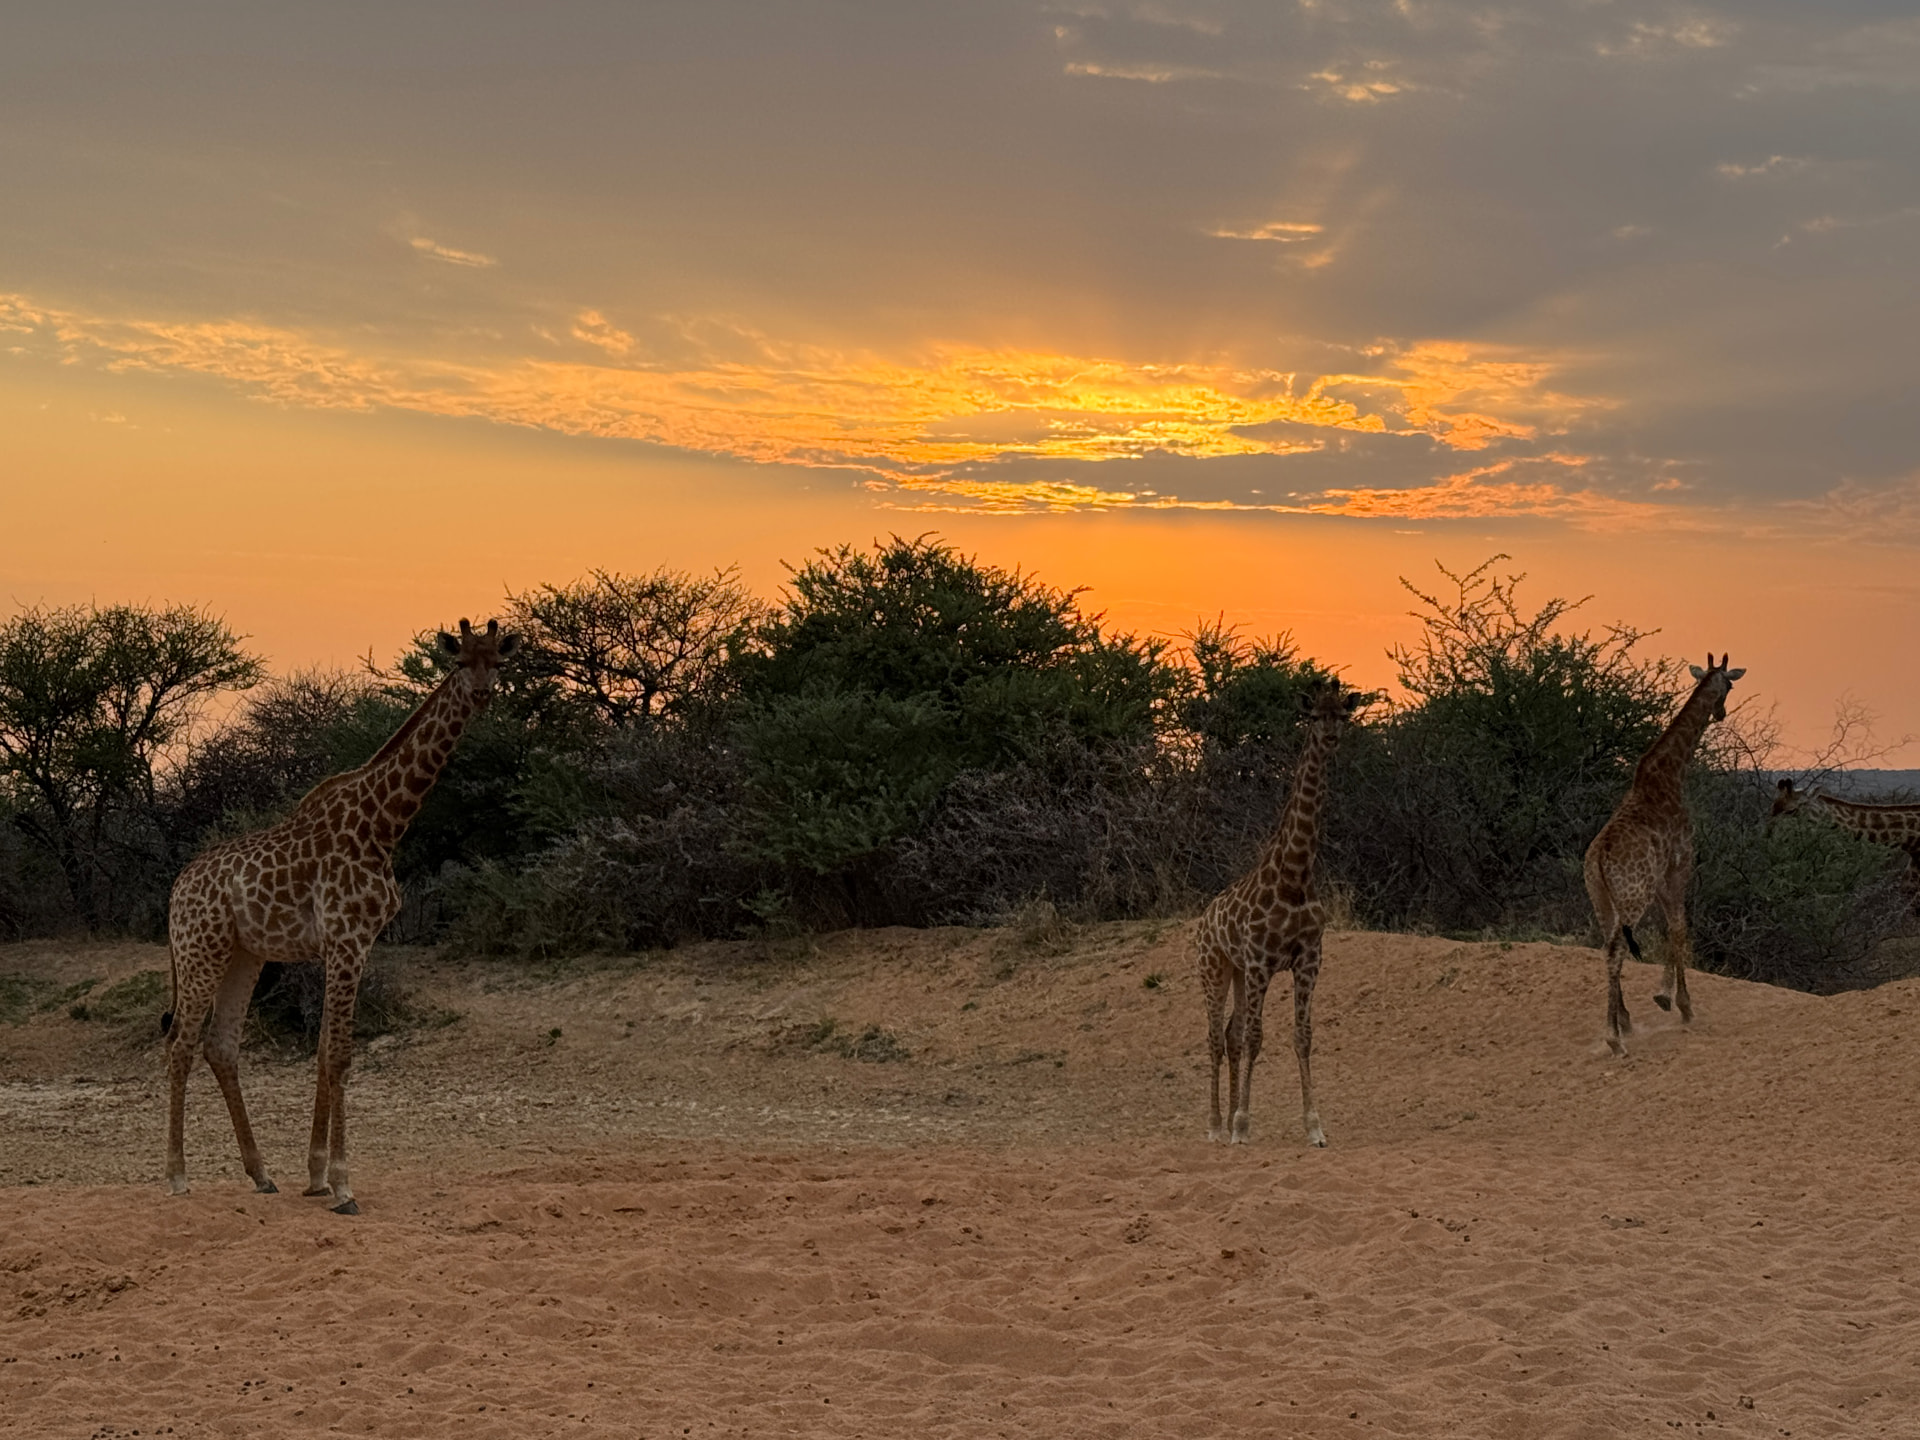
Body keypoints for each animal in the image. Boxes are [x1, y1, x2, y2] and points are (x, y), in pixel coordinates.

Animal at [162, 618, 519, 1213]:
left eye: (498, 662)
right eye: (459, 662)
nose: (483, 693)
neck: (384, 826)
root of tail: (176, 890)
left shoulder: (352, 944)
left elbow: (327, 1053)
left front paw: (315, 1175)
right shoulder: (347, 939)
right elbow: (342, 1055)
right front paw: (344, 1185)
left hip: (244, 954)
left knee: (221, 1046)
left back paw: (261, 1174)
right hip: (200, 949)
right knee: (180, 1046)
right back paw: (175, 1175)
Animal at [1197, 680, 1368, 1146]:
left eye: (1341, 715)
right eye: (1313, 716)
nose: (1330, 738)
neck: (1293, 876)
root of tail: (1203, 919)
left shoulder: (1308, 958)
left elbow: (1301, 1036)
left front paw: (1315, 1127)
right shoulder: (1260, 960)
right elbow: (1257, 1037)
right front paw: (1242, 1124)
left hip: (1238, 971)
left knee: (1231, 1033)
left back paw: (1227, 1118)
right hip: (1214, 967)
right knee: (1215, 1036)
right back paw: (1216, 1126)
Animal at [1583, 653, 1744, 1056]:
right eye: (1729, 685)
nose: (1720, 712)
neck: (1670, 775)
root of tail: (1598, 859)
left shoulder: (1658, 878)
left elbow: (1668, 927)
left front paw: (1663, 996)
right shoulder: (1679, 866)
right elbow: (1678, 927)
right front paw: (1681, 1005)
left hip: (1602, 899)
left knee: (1607, 946)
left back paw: (1624, 1021)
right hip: (1631, 897)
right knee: (1616, 950)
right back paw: (1614, 1039)